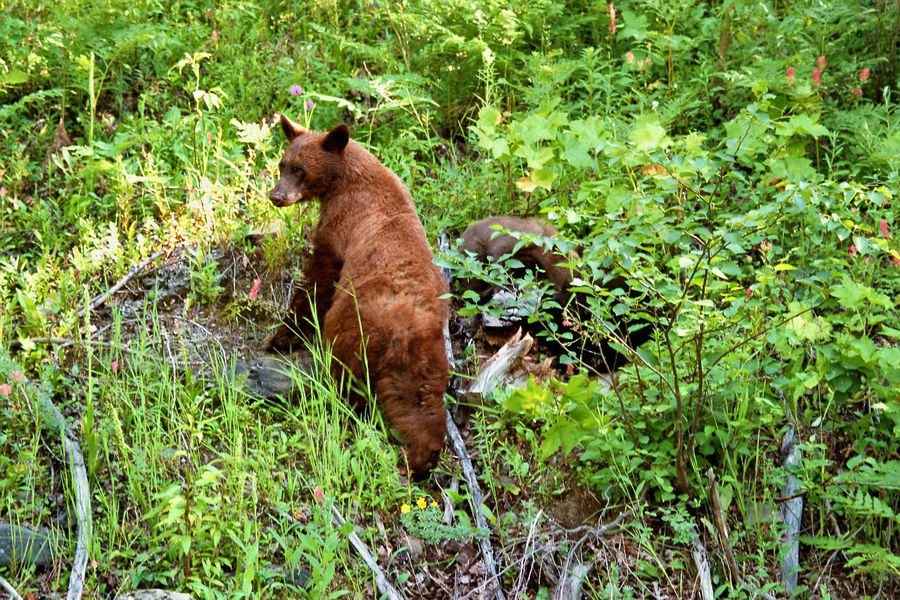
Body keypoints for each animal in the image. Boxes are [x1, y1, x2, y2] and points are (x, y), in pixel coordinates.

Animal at [266, 116, 450, 474]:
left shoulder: (342, 222)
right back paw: (422, 456)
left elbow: (319, 277)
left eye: (300, 169)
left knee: (345, 378)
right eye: (282, 164)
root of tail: (402, 331)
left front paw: (283, 334)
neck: (346, 177)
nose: (276, 196)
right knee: (421, 404)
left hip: (350, 331)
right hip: (427, 359)